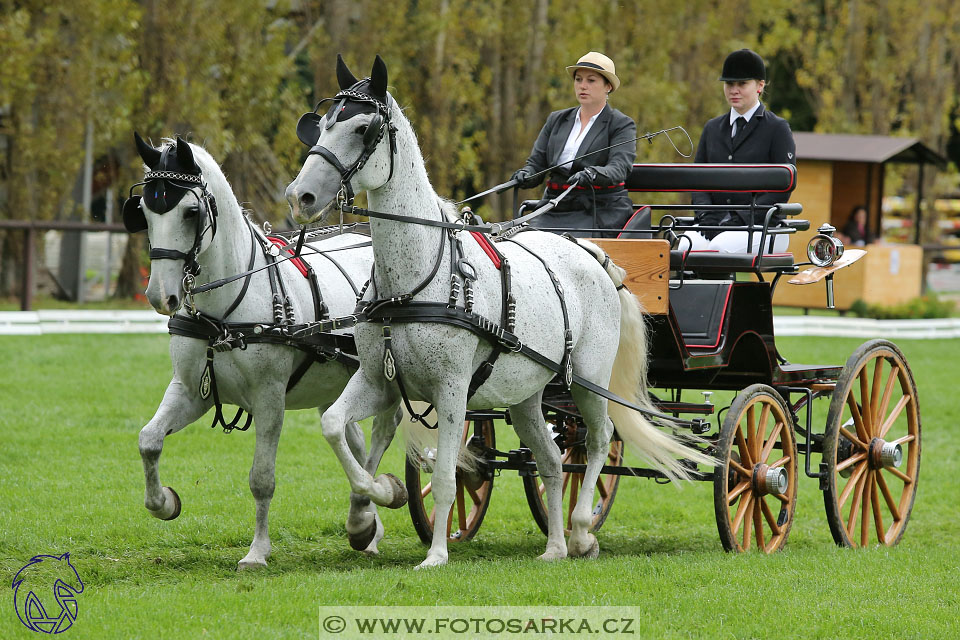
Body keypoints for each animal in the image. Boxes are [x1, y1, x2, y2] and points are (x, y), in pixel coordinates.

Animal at [129, 132, 406, 568]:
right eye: (143, 210)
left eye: (190, 212)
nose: (161, 296)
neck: (225, 309)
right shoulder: (192, 390)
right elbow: (149, 440)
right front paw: (164, 502)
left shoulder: (269, 398)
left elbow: (262, 479)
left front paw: (257, 551)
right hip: (335, 384)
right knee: (354, 438)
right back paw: (368, 526)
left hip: (382, 376)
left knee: (382, 432)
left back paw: (366, 511)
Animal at [284, 53, 712, 564]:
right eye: (324, 123)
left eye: (364, 128)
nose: (301, 196)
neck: (413, 283)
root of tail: (591, 252)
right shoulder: (377, 379)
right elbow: (336, 429)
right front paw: (371, 510)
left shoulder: (451, 390)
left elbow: (445, 476)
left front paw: (434, 555)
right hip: (528, 393)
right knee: (551, 460)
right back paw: (554, 547)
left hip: (589, 380)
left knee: (598, 440)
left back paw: (581, 532)